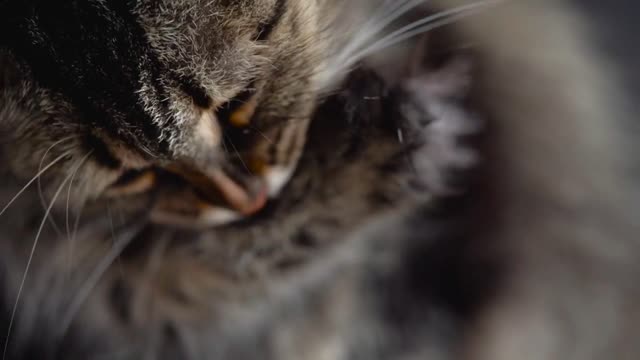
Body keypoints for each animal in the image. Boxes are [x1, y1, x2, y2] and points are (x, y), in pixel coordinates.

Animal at [1, 0, 640, 360]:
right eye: (133, 177)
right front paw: (383, 149)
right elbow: (225, 270)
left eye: (237, 104)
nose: (249, 199)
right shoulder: (89, 295)